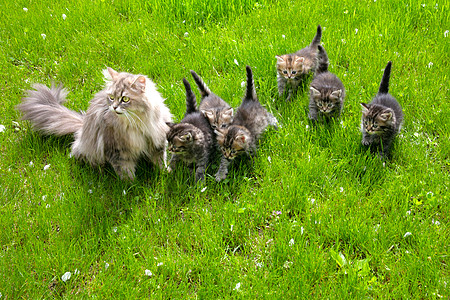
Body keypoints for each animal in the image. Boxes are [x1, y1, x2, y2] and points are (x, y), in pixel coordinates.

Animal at [17, 67, 172, 180]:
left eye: (125, 99)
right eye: (111, 97)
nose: (114, 107)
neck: (137, 123)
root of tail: (81, 127)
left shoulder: (157, 139)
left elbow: (160, 160)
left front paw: (165, 172)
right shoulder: (116, 149)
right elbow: (125, 171)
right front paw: (131, 186)